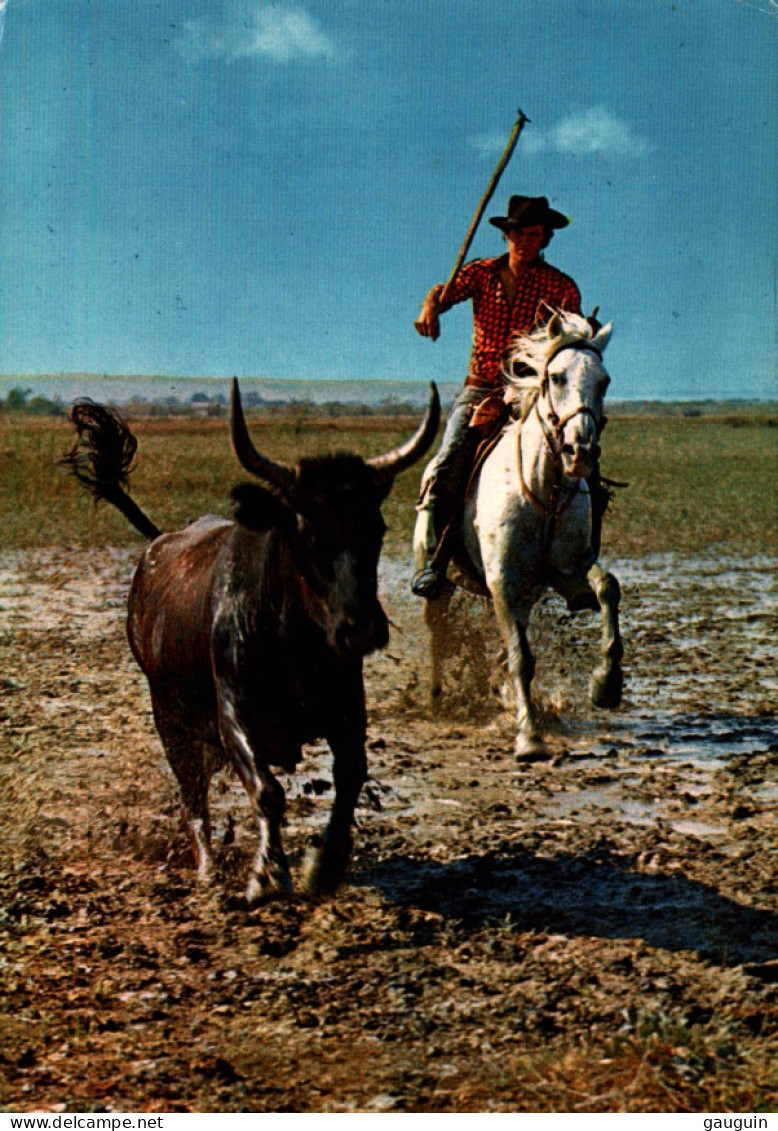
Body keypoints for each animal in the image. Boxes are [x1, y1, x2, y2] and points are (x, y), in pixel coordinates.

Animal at [59, 384, 438, 904]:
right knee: (192, 796)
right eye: (305, 534)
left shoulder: (347, 708)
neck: (293, 639)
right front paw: (267, 873)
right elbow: (268, 791)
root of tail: (158, 545)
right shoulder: (233, 716)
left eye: (375, 529)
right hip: (170, 720)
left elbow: (350, 777)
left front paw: (323, 866)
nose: (361, 629)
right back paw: (207, 867)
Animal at [413, 307, 624, 760]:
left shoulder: (566, 571)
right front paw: (528, 738)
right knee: (438, 633)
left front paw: (606, 684)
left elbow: (606, 587)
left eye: (604, 381)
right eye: (556, 376)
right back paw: (437, 700)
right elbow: (521, 657)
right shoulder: (502, 580)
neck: (543, 487)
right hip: (441, 582)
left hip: (527, 592)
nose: (579, 452)